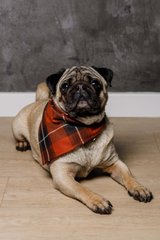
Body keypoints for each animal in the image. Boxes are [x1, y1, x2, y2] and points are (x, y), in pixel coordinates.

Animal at [12, 65, 152, 214]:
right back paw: (22, 143)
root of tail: (38, 101)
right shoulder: (63, 175)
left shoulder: (114, 163)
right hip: (17, 127)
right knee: (19, 137)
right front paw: (97, 201)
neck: (83, 127)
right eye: (65, 86)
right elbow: (81, 188)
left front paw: (139, 188)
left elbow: (129, 176)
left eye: (95, 83)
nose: (80, 86)